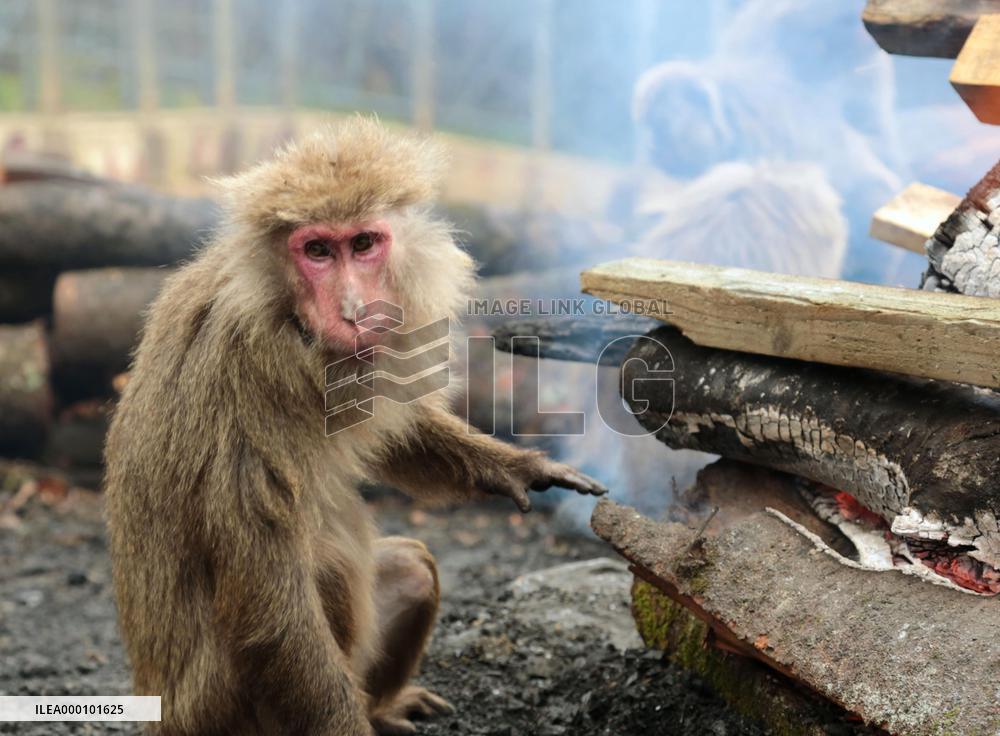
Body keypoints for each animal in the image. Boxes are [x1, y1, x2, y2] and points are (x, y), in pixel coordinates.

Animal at [104, 117, 606, 736]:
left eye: (364, 244)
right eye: (317, 250)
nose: (353, 309)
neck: (286, 320)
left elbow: (398, 433)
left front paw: (517, 467)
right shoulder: (236, 383)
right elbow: (270, 608)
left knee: (412, 566)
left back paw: (381, 705)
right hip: (223, 711)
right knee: (323, 570)